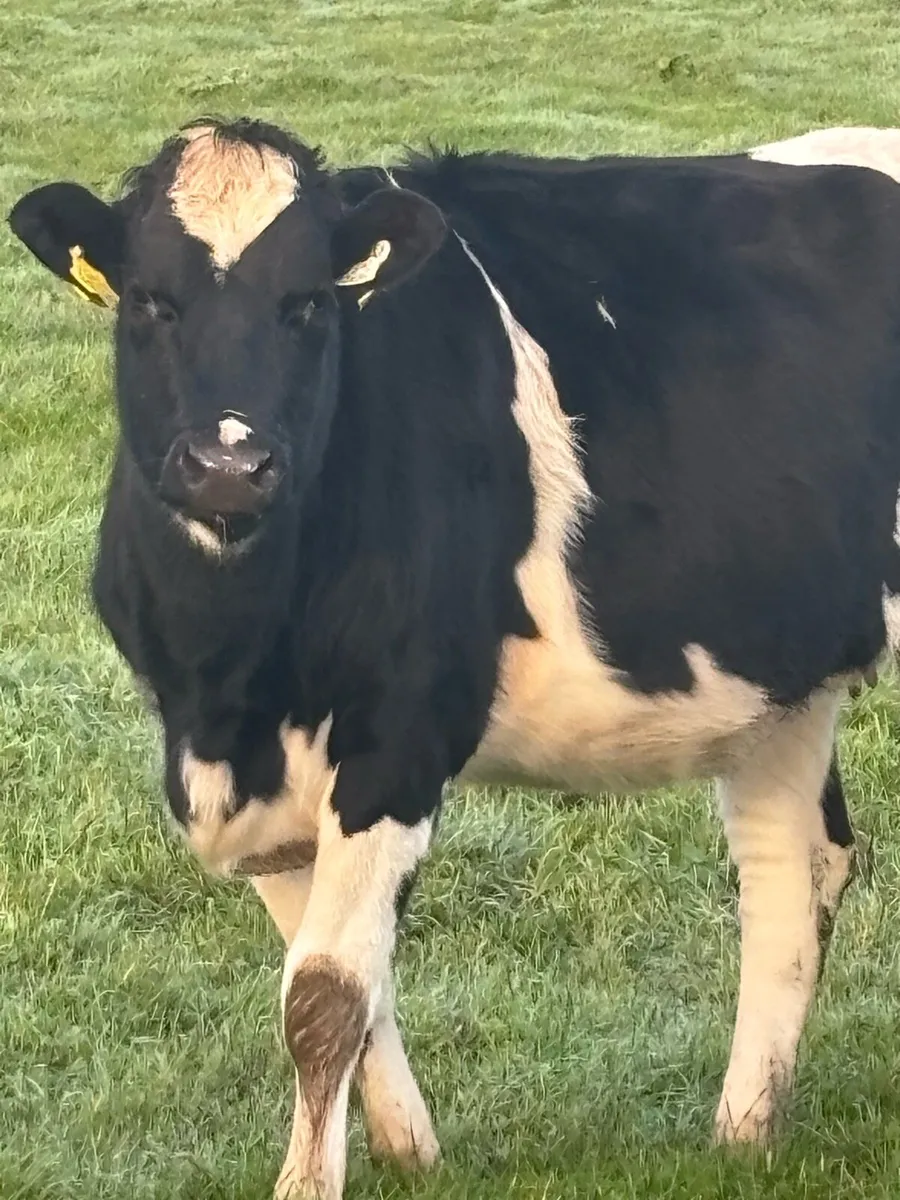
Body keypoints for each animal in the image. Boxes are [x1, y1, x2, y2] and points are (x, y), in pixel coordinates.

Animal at [9, 118, 900, 1199]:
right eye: (148, 299)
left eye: (310, 304)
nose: (229, 467)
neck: (233, 675)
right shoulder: (232, 767)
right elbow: (352, 983)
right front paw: (409, 1148)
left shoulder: (398, 736)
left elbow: (324, 995)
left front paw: (312, 1180)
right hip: (778, 676)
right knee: (792, 872)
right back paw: (745, 1131)